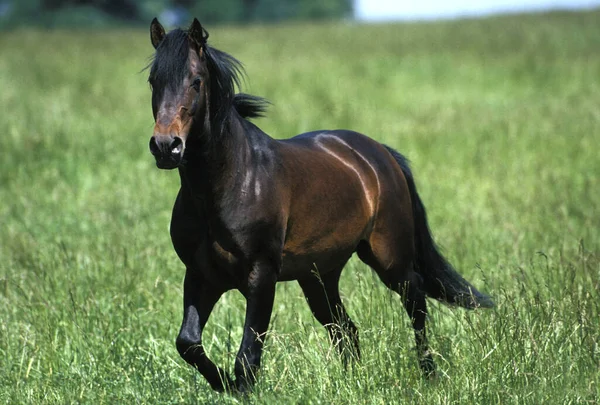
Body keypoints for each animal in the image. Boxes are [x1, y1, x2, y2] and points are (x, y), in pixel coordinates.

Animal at [145, 18, 492, 392]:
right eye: (153, 81)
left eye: (196, 81)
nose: (166, 146)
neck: (228, 184)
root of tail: (381, 155)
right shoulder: (200, 276)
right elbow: (188, 344)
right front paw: (224, 384)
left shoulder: (261, 275)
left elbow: (247, 356)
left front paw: (239, 387)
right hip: (320, 276)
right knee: (346, 329)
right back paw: (354, 383)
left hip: (390, 259)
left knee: (415, 305)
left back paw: (430, 376)